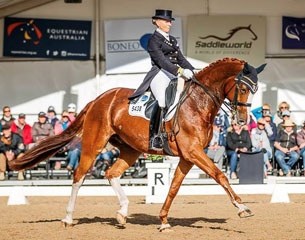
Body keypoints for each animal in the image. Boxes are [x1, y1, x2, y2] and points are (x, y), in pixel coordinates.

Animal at [8, 57, 264, 231]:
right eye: (242, 88)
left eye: (254, 89)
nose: (242, 120)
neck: (197, 104)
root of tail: (98, 99)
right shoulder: (193, 152)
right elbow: (220, 175)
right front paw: (243, 208)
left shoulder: (187, 156)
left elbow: (173, 188)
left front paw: (163, 220)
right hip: (94, 144)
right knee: (79, 176)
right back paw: (68, 218)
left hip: (130, 149)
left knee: (111, 173)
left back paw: (122, 213)